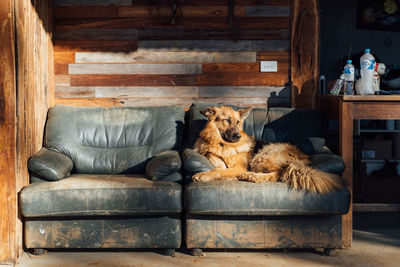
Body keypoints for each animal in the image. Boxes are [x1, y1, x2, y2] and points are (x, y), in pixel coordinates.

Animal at [192, 105, 342, 195]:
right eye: (227, 120)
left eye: (238, 122)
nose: (238, 136)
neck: (223, 144)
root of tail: (303, 158)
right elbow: (215, 160)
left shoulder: (240, 168)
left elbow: (218, 171)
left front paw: (203, 175)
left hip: (263, 155)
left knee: (280, 174)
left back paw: (252, 176)